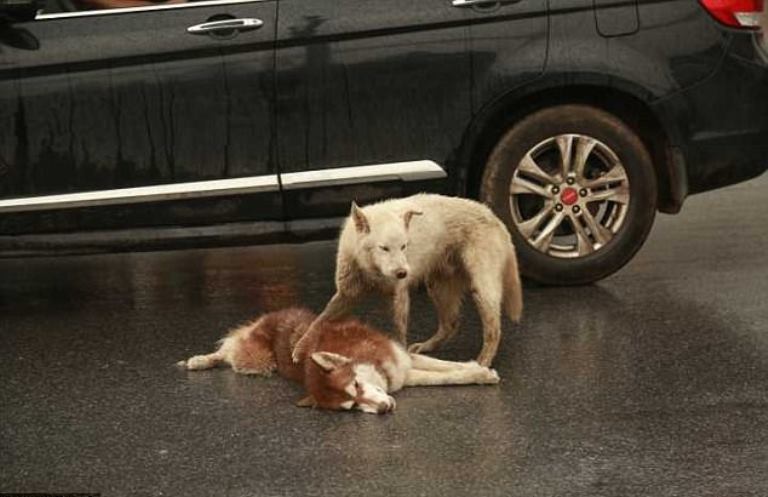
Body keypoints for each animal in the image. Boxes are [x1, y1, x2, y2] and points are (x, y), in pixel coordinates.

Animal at [178, 307, 500, 414]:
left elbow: (446, 367)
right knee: (227, 352)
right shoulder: (405, 374)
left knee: (229, 346)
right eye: (352, 407)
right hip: (257, 363)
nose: (383, 410)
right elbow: (445, 375)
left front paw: (478, 367)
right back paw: (200, 360)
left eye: (356, 385)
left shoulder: (404, 357)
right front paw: (480, 373)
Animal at [292, 193, 523, 367]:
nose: (403, 273)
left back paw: (482, 363)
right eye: (384, 248)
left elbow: (398, 331)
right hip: (438, 287)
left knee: (494, 330)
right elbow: (319, 321)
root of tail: (495, 218)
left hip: (481, 289)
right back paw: (425, 347)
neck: (372, 270)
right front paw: (300, 349)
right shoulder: (346, 295)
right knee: (451, 324)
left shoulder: (399, 296)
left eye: (404, 246)